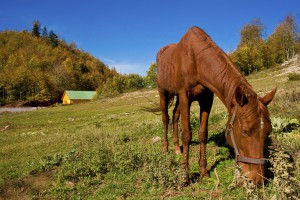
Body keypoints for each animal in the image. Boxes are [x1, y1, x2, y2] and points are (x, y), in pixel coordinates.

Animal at [157, 26, 276, 184]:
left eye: (268, 131)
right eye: (245, 131)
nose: (257, 179)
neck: (196, 61)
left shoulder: (206, 100)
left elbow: (203, 134)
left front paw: (203, 171)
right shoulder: (184, 96)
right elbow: (187, 134)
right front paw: (185, 176)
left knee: (175, 116)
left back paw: (176, 148)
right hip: (163, 92)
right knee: (166, 119)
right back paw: (165, 149)